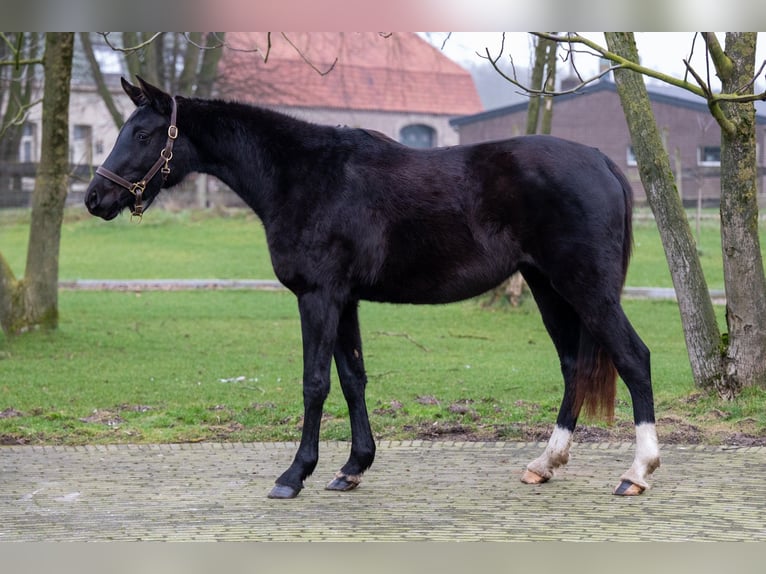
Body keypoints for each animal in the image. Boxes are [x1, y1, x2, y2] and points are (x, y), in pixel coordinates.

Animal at [84, 79, 660, 502]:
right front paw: (353, 467)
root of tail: (603, 161)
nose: (95, 198)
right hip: (548, 288)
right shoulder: (345, 300)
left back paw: (637, 472)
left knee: (633, 358)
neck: (303, 175)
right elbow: (353, 378)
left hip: (586, 289)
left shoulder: (317, 296)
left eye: (143, 135)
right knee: (573, 365)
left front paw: (294, 475)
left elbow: (315, 382)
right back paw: (546, 463)